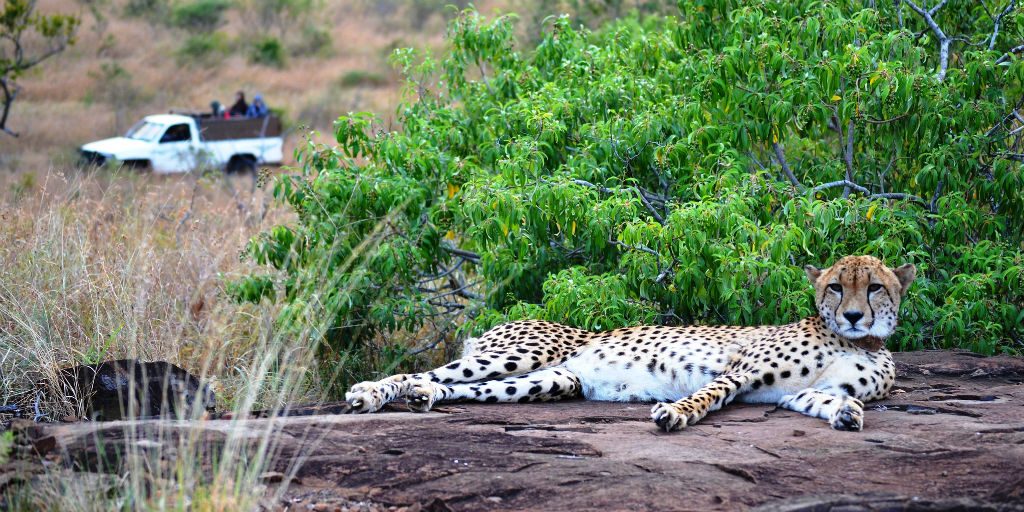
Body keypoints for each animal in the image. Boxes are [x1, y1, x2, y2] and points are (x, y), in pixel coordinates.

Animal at [342, 256, 913, 432]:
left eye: (874, 286)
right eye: (836, 286)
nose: (855, 315)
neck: (852, 342)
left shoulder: (798, 393)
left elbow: (826, 398)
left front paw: (848, 416)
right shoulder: (740, 371)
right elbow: (706, 396)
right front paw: (674, 414)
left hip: (551, 381)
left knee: (457, 388)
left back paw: (426, 399)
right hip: (520, 353)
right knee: (421, 372)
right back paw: (370, 393)